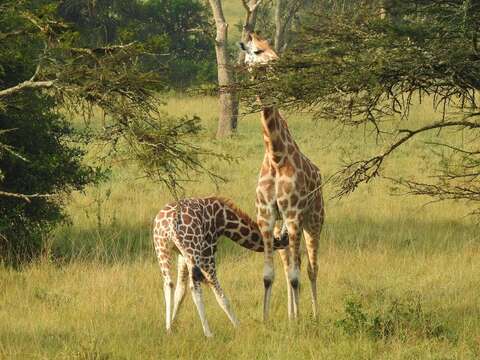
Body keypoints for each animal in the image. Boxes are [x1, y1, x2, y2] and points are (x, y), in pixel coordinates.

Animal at [154, 195, 288, 336]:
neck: (224, 220)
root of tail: (172, 221)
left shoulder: (182, 255)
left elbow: (180, 291)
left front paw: (172, 325)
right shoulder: (208, 250)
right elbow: (219, 295)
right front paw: (238, 326)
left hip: (162, 248)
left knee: (168, 284)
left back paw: (168, 328)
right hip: (194, 251)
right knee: (195, 288)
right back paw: (208, 333)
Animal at [238, 32, 324, 320]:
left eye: (271, 47)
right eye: (256, 50)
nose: (278, 63)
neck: (275, 156)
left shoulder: (294, 214)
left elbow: (298, 275)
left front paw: (298, 322)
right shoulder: (266, 217)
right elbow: (268, 275)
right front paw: (267, 320)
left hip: (314, 220)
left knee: (310, 268)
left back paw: (313, 315)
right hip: (283, 227)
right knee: (289, 266)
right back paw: (291, 313)